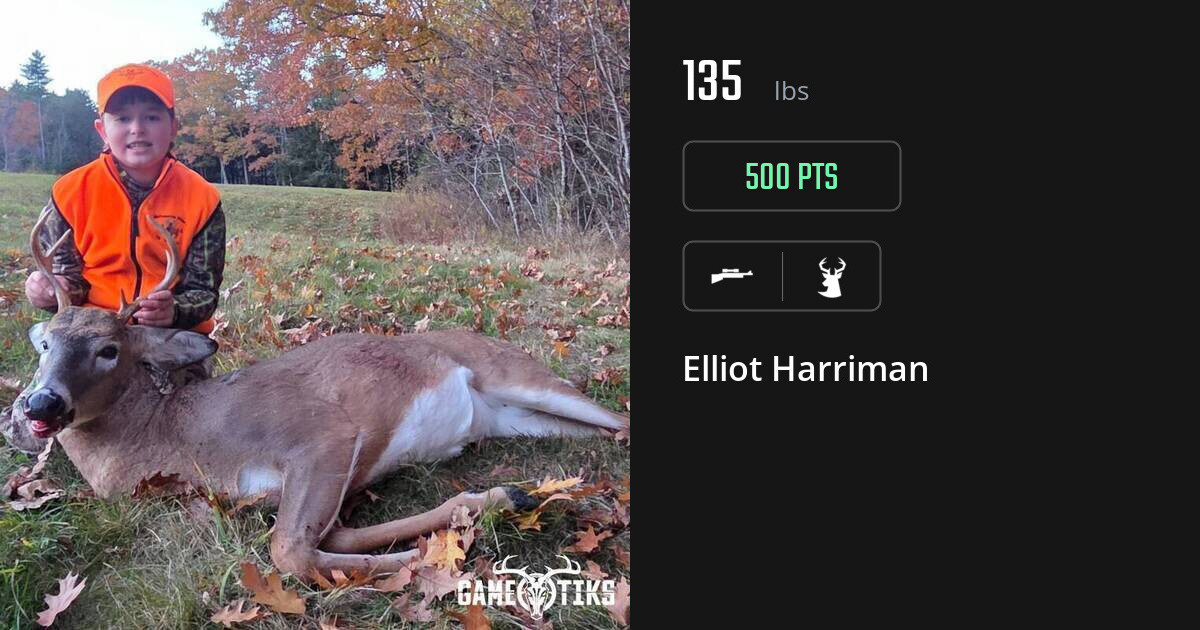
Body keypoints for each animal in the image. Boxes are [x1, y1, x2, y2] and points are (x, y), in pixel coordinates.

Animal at [5, 207, 629, 578]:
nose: (41, 404)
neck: (177, 439)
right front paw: (488, 505)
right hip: (514, 416)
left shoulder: (320, 434)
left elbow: (288, 550)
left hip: (518, 376)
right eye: (44, 343)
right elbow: (334, 536)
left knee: (618, 421)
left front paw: (418, 556)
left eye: (109, 349)